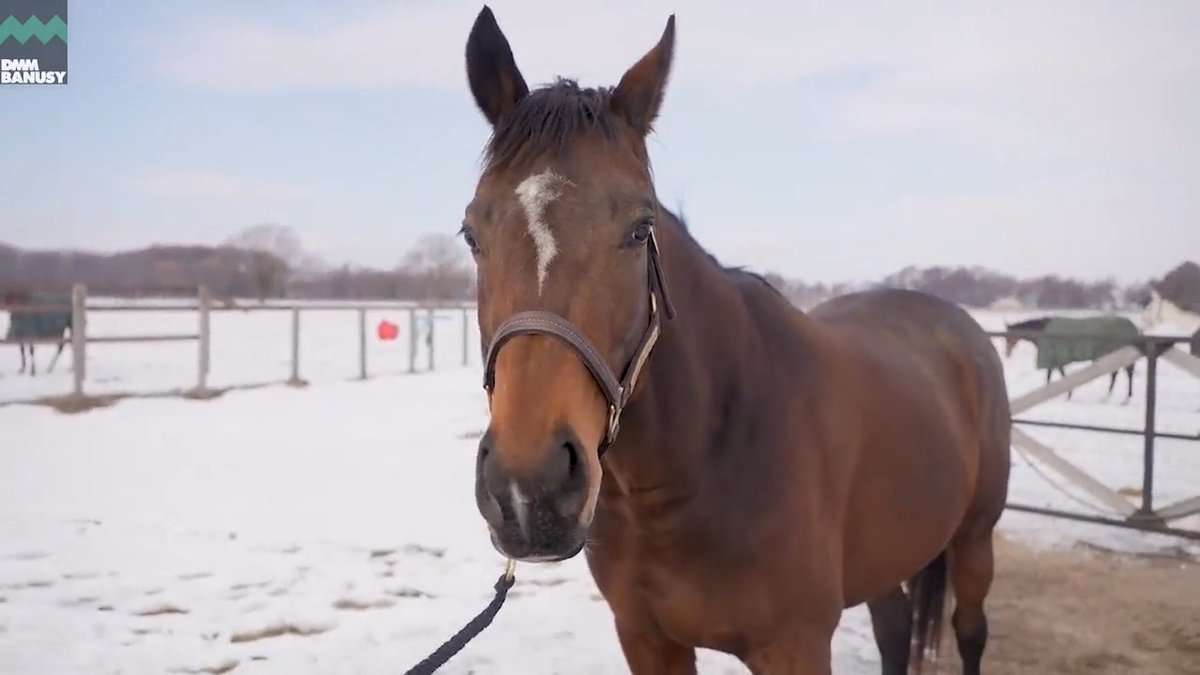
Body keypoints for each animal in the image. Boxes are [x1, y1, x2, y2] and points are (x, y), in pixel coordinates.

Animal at [458, 6, 1012, 672]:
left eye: (640, 227)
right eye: (471, 232)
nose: (529, 488)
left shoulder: (795, 645)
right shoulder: (646, 638)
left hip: (974, 539)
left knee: (971, 630)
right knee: (895, 627)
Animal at [1008, 314, 1137, 398]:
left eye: (1008, 337)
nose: (1007, 353)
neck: (1044, 331)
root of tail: (1132, 326)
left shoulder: (1055, 358)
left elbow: (1059, 375)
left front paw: (1068, 394)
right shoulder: (1054, 359)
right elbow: (1051, 376)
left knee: (1124, 373)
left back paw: (1122, 396)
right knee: (1118, 374)